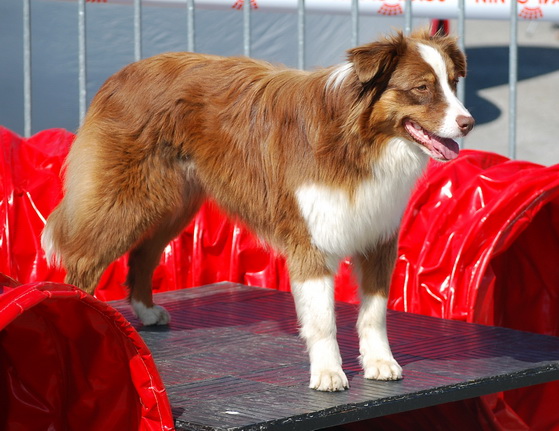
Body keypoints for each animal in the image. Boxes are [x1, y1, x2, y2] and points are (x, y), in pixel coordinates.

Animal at [41, 28, 474, 394]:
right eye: (421, 88)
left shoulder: (379, 234)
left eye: (454, 83)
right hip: (126, 201)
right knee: (84, 260)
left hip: (174, 204)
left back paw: (146, 311)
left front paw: (380, 362)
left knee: (143, 254)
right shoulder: (310, 240)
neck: (360, 142)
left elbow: (375, 311)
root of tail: (122, 73)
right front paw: (328, 373)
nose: (468, 123)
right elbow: (322, 318)